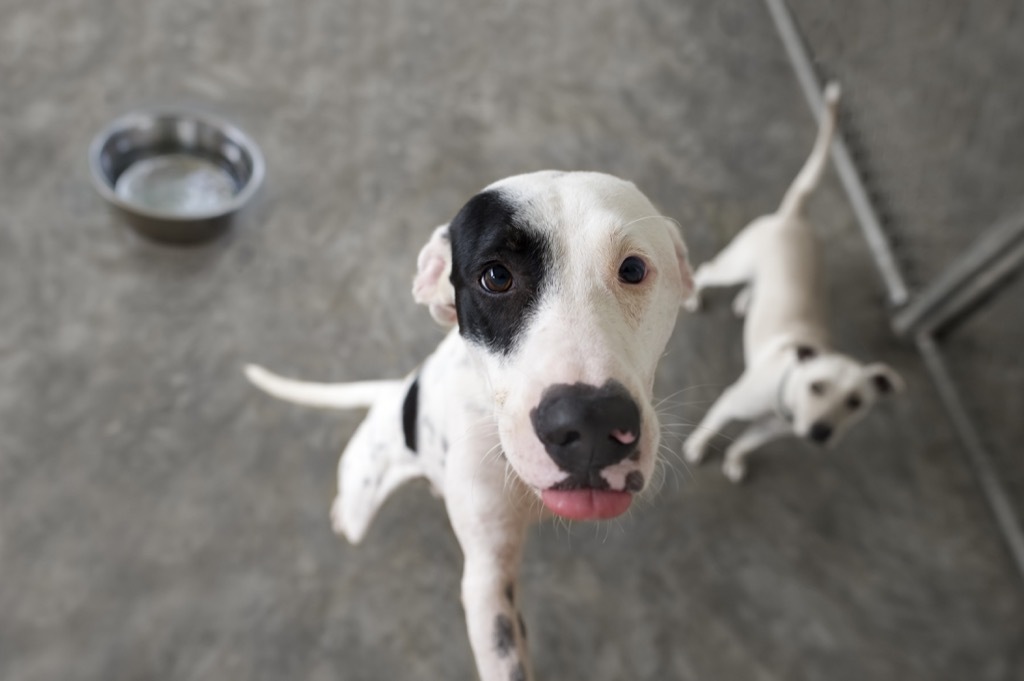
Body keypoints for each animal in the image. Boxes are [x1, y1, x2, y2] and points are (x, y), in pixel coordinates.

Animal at [684, 82, 901, 481]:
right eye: (817, 386)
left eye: (855, 402)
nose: (820, 432)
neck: (786, 398)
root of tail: (795, 217)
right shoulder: (729, 402)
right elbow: (711, 426)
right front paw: (697, 447)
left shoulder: (770, 431)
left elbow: (747, 443)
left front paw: (735, 460)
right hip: (733, 264)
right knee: (706, 271)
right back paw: (695, 296)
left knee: (754, 286)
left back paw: (746, 301)